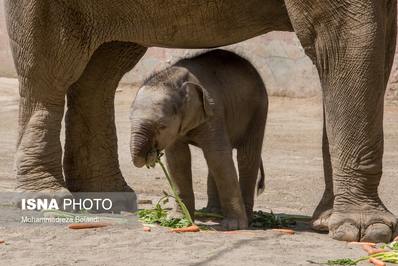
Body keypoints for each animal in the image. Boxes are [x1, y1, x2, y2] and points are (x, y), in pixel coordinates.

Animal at [130, 49, 268, 229]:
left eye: (162, 126)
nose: (151, 154)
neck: (175, 78)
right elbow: (177, 159)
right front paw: (178, 220)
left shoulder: (213, 111)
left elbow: (217, 156)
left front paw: (233, 227)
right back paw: (212, 212)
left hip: (258, 111)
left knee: (245, 156)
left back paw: (245, 218)